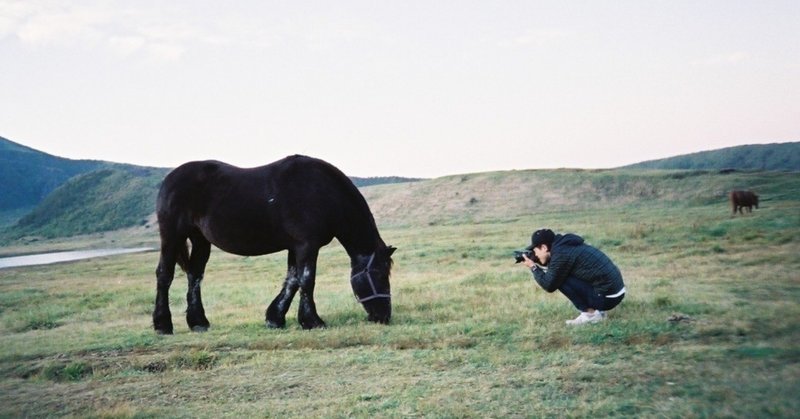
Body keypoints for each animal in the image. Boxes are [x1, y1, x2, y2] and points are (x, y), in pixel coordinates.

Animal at [152, 154, 394, 334]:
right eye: (380, 275)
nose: (384, 317)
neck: (322, 192)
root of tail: (169, 178)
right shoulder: (307, 246)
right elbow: (307, 280)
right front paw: (312, 321)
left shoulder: (295, 247)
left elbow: (292, 280)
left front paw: (275, 318)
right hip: (172, 236)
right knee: (165, 275)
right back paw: (163, 324)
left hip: (201, 240)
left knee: (195, 276)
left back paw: (198, 322)